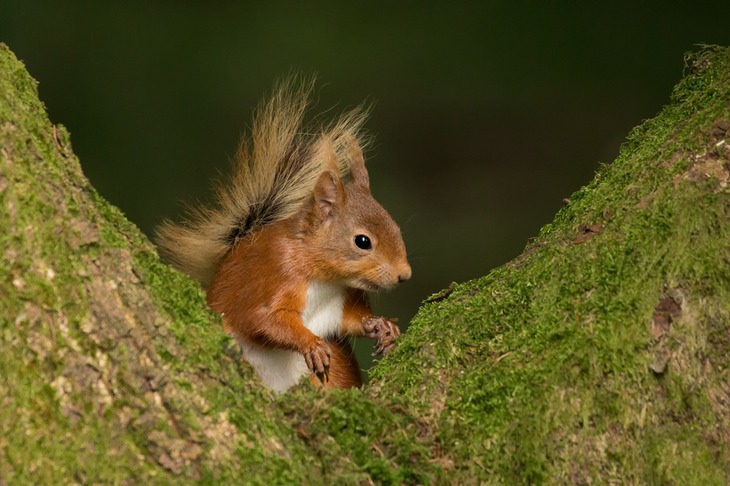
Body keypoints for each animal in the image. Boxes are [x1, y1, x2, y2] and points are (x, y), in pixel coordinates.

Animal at [155, 79, 410, 392]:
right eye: (362, 241)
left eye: (395, 226)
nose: (404, 274)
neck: (326, 281)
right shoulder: (274, 277)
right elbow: (263, 320)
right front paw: (311, 344)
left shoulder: (338, 305)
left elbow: (350, 319)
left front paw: (381, 325)